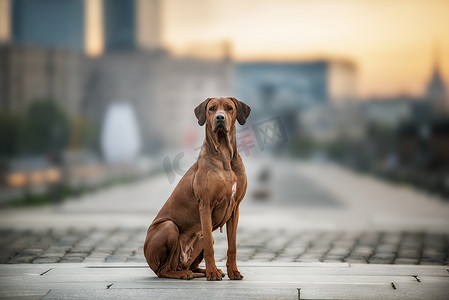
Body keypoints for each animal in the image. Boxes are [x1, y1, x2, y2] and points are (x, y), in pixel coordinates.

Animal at [144, 97, 250, 280]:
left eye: (229, 108)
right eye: (212, 108)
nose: (220, 118)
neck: (224, 155)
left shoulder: (235, 208)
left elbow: (232, 246)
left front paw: (233, 271)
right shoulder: (205, 204)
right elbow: (209, 247)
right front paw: (212, 273)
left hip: (196, 237)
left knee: (189, 265)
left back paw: (202, 271)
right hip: (169, 227)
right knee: (164, 270)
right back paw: (188, 274)